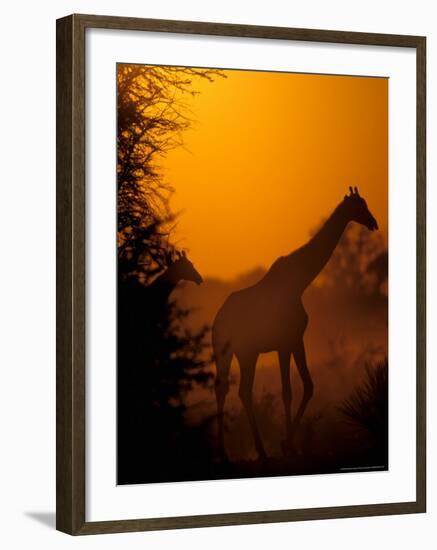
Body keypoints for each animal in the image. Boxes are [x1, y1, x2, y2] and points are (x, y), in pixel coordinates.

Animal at [212, 190, 378, 462]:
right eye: (359, 206)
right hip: (239, 352)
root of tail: (217, 321)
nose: (373, 222)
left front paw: (289, 444)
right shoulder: (286, 341)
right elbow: (293, 389)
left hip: (236, 353)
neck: (300, 281)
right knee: (235, 390)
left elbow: (302, 387)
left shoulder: (292, 341)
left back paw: (237, 451)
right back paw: (248, 451)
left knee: (230, 390)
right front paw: (286, 444)